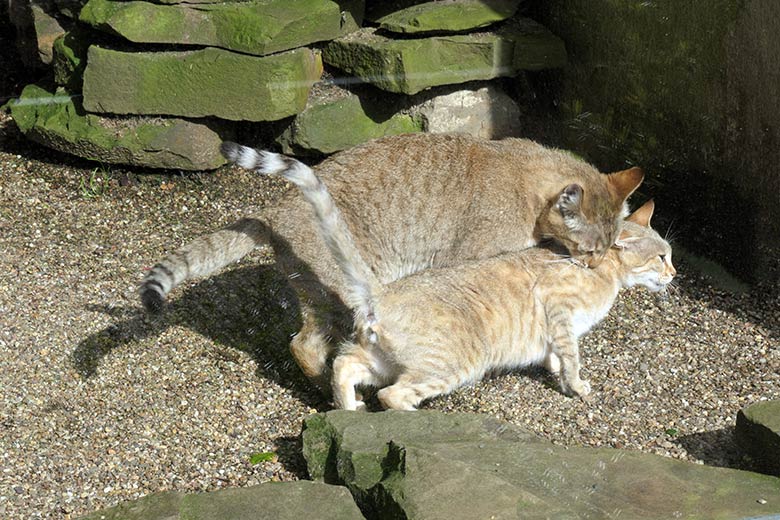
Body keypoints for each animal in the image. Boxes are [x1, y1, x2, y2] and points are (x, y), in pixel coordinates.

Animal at [143, 133, 644, 390]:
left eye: (609, 248)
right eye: (591, 251)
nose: (594, 267)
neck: (526, 181)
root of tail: (273, 212)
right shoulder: (475, 258)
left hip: (316, 294)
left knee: (305, 345)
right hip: (345, 290)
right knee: (318, 348)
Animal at [245, 149, 676, 410]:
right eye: (662, 256)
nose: (674, 273)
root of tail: (379, 294)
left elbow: (557, 351)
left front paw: (554, 368)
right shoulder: (558, 305)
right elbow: (570, 354)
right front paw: (576, 384)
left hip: (381, 358)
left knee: (344, 364)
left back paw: (349, 407)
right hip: (456, 363)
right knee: (390, 393)